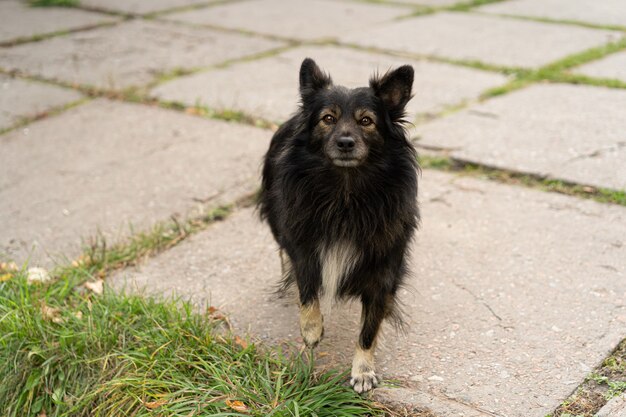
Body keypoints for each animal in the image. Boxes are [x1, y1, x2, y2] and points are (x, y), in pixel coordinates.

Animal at [256, 58, 416, 394]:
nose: (345, 142)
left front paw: (363, 370)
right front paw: (311, 330)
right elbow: (307, 289)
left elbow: (369, 328)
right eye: (327, 119)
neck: (345, 192)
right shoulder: (305, 247)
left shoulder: (384, 269)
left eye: (366, 121)